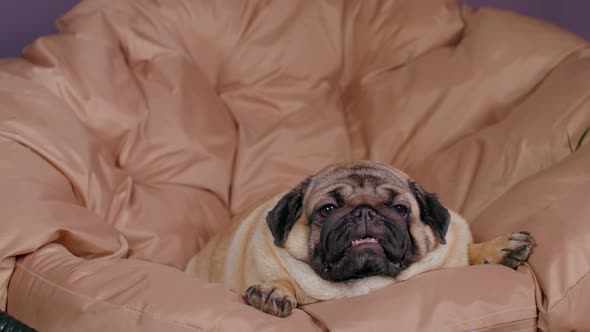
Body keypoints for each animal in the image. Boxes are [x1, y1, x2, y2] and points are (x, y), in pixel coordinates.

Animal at [186, 162, 536, 318]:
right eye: (327, 209)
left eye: (399, 209)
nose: (365, 212)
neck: (362, 282)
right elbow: (280, 279)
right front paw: (274, 290)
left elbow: (465, 251)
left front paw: (499, 246)